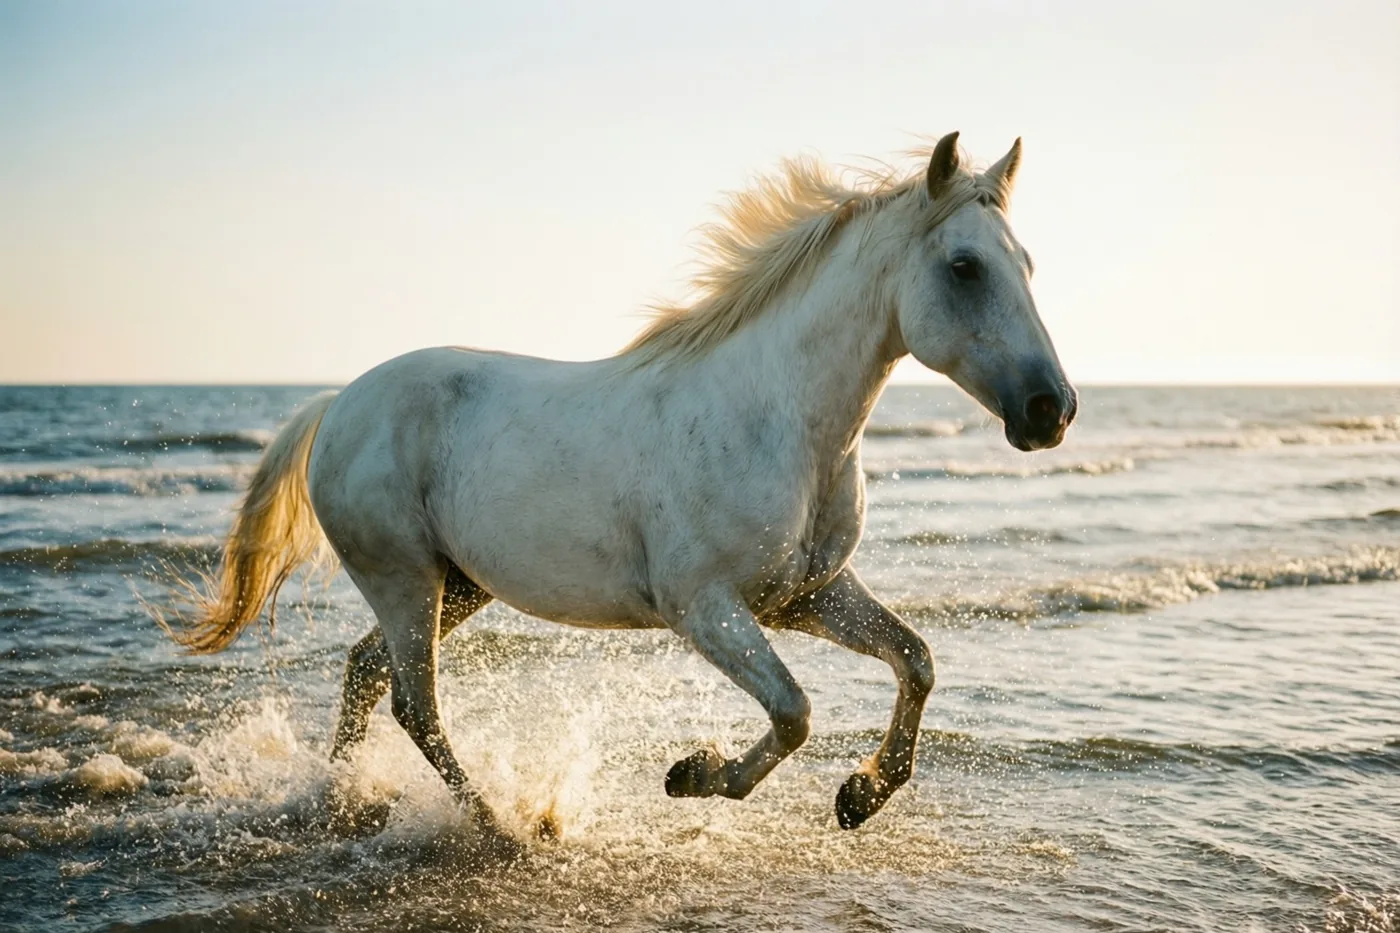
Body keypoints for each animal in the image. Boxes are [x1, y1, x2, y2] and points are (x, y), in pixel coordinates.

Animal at [159, 131, 1076, 844]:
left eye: (1029, 264)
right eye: (965, 266)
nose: (1052, 408)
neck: (774, 416)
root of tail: (339, 402)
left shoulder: (805, 595)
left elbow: (916, 660)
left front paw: (859, 795)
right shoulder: (704, 607)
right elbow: (794, 710)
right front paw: (693, 774)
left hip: (456, 585)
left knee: (363, 671)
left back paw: (343, 800)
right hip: (405, 579)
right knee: (416, 705)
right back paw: (502, 826)